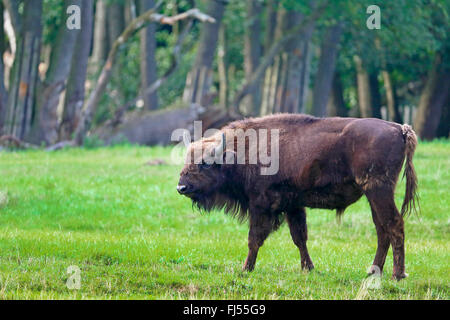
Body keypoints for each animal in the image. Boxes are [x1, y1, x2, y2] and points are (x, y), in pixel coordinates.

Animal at [176, 114, 418, 278]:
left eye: (205, 163)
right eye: (188, 159)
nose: (182, 187)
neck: (241, 151)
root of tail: (400, 129)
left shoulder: (260, 206)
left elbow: (254, 239)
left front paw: (245, 268)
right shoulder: (293, 206)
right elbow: (299, 237)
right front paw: (308, 268)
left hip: (378, 190)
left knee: (394, 225)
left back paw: (397, 275)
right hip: (373, 194)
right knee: (382, 229)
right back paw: (373, 271)